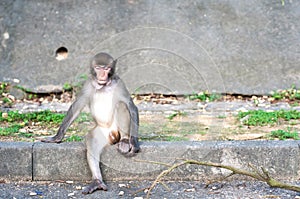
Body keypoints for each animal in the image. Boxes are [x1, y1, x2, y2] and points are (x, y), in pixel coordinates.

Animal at [41, 52, 141, 194]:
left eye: (106, 69)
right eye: (98, 68)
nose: (102, 75)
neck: (103, 86)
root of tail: (113, 134)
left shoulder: (119, 82)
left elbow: (131, 106)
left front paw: (134, 142)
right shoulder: (88, 84)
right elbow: (77, 106)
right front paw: (57, 137)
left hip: (116, 131)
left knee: (121, 105)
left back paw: (125, 141)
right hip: (104, 133)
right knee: (91, 138)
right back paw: (97, 181)